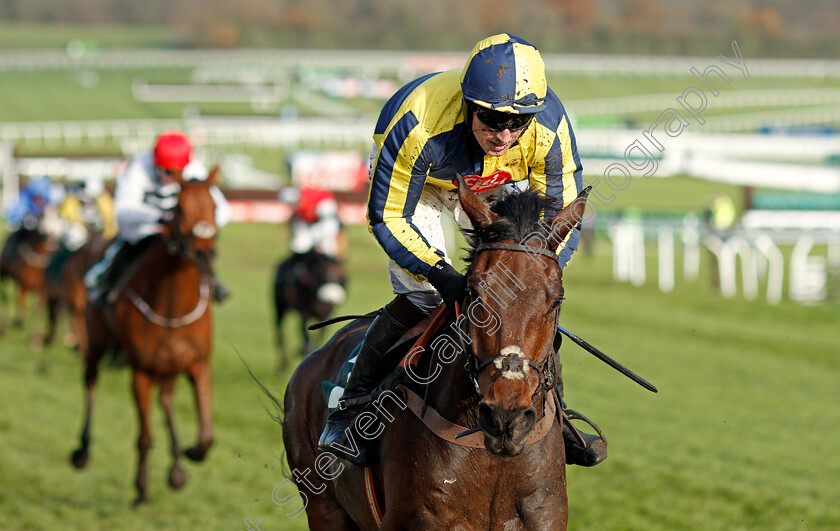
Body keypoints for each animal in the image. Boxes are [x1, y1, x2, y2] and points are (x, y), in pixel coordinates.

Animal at [70, 171, 220, 508]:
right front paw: (141, 490)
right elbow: (144, 436)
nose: (204, 251)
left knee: (165, 399)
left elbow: (207, 435)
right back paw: (82, 450)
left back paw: (176, 468)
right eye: (180, 208)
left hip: (168, 367)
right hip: (96, 341)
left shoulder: (198, 364)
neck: (173, 305)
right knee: (90, 381)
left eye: (214, 206)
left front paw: (191, 453)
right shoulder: (140, 370)